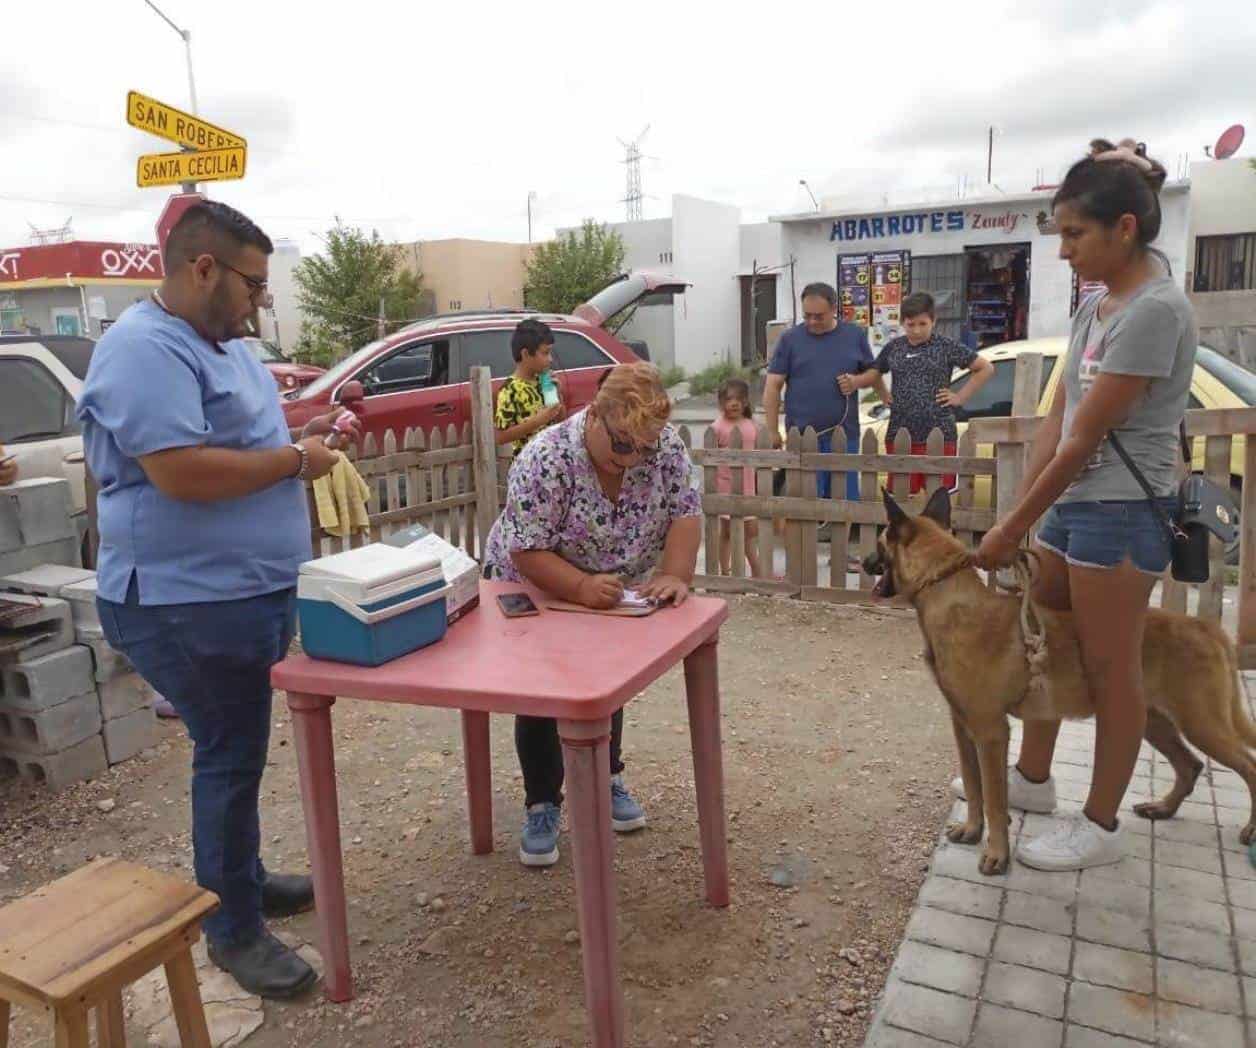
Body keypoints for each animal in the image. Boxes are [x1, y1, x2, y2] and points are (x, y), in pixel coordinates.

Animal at [864, 485, 1256, 869]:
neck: (948, 595)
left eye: (880, 544)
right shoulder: (962, 726)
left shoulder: (990, 733)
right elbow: (975, 789)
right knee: (1190, 766)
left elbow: (994, 798)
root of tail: (1205, 626)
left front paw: (997, 853)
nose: (866, 563)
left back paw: (1250, 830)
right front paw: (973, 829)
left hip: (1202, 724)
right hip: (1155, 722)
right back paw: (1163, 807)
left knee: (1248, 766)